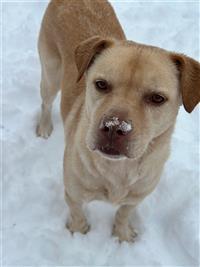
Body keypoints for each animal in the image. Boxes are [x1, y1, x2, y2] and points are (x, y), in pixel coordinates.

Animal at [36, 0, 200, 243]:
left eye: (157, 98)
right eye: (101, 84)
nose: (114, 127)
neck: (118, 170)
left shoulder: (136, 197)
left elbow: (124, 213)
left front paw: (122, 235)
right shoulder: (73, 193)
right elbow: (77, 213)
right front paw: (79, 232)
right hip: (51, 74)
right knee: (46, 103)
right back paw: (44, 127)